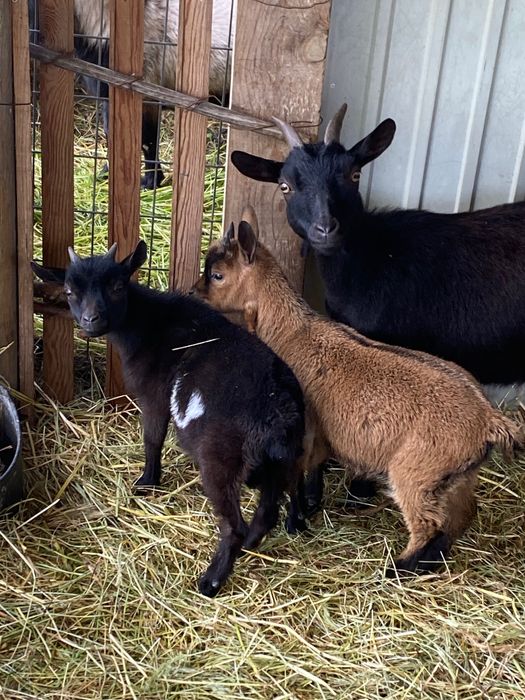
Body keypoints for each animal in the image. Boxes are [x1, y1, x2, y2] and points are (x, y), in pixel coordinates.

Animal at [31, 242, 306, 597]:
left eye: (118, 286)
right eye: (68, 291)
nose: (92, 320)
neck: (147, 324)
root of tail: (279, 411)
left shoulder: (154, 396)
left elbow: (152, 438)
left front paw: (147, 482)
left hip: (221, 459)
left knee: (233, 525)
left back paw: (211, 581)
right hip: (278, 462)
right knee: (267, 511)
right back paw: (249, 547)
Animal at [194, 209, 523, 576]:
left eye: (218, 275)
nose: (193, 294)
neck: (293, 331)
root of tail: (488, 420)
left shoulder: (305, 425)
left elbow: (300, 473)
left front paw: (297, 519)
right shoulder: (321, 432)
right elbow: (316, 468)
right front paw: (312, 505)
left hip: (416, 471)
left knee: (428, 524)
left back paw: (398, 568)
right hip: (457, 475)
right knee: (461, 516)